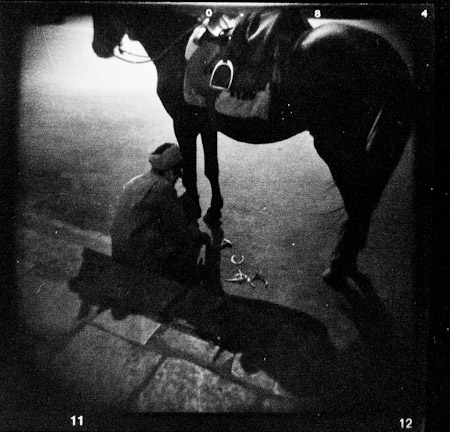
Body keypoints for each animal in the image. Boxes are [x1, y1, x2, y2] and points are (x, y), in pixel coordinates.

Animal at [91, 5, 414, 283]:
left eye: (101, 11)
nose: (98, 48)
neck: (176, 46)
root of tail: (385, 54)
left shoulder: (183, 124)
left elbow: (192, 171)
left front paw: (193, 208)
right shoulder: (207, 125)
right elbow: (211, 168)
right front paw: (214, 210)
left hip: (337, 149)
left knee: (358, 202)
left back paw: (337, 267)